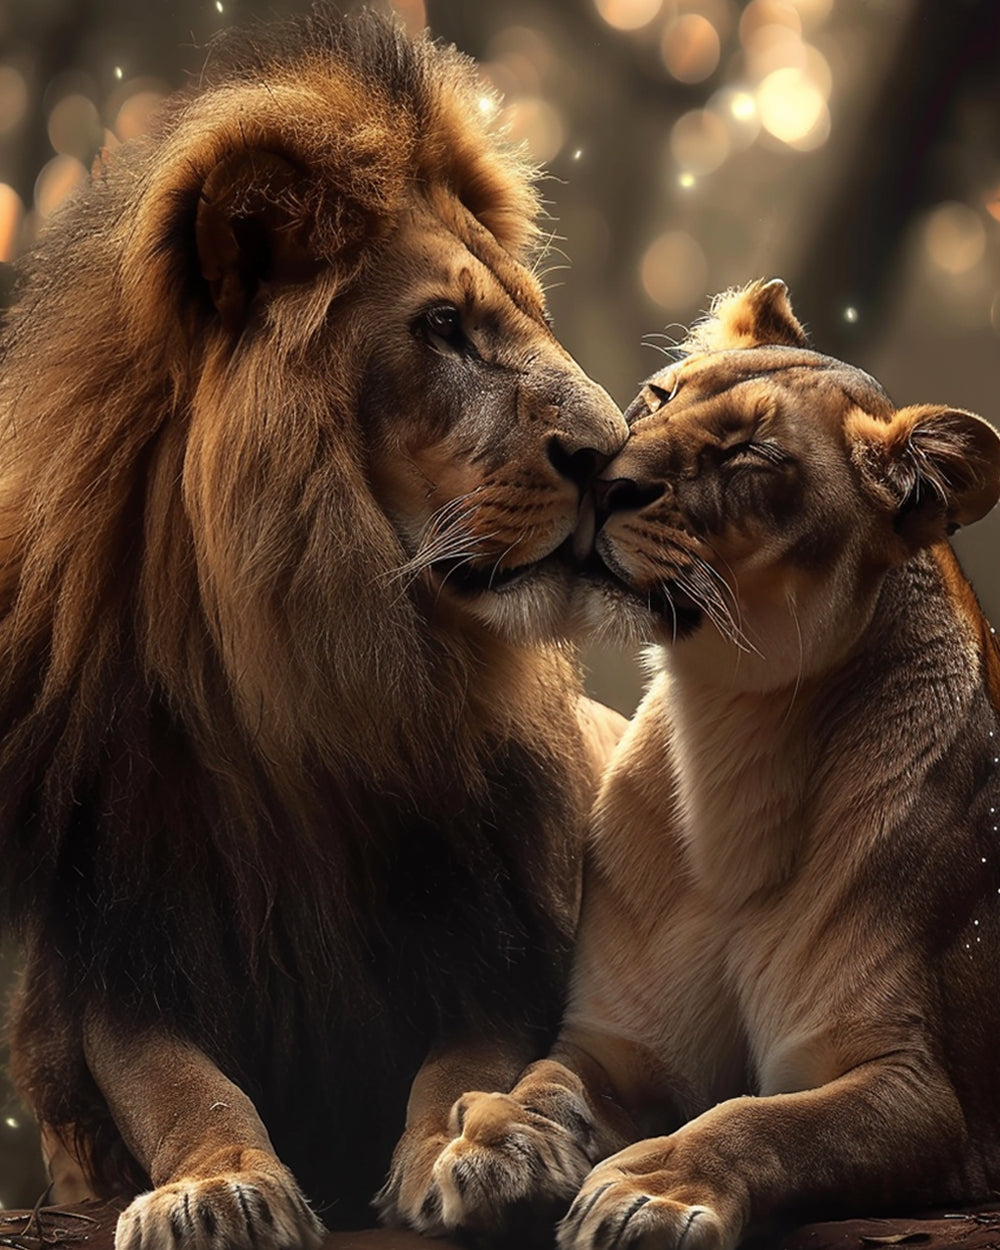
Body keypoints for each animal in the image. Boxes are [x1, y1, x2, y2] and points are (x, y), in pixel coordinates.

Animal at [0, 10, 628, 1247]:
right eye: (443, 326)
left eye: (530, 318)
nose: (617, 451)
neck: (306, 684)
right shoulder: (109, 954)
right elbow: (177, 1082)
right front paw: (216, 1185)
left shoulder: (499, 932)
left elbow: (467, 1056)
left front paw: (488, 1147)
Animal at [406, 279, 1000, 1249]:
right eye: (658, 397)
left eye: (753, 453)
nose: (603, 481)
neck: (727, 737)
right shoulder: (617, 1044)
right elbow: (548, 1077)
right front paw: (501, 1138)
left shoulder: (917, 1086)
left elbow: (765, 1121)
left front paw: (651, 1189)